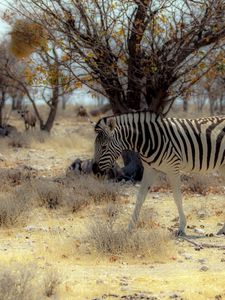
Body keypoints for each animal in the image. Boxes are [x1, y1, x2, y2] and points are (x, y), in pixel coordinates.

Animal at [92, 109, 225, 236]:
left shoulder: (173, 168)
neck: (149, 139)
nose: (94, 171)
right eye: (95, 146)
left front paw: (181, 228)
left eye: (104, 147)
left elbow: (177, 197)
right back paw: (222, 230)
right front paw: (130, 228)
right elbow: (140, 197)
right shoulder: (150, 169)